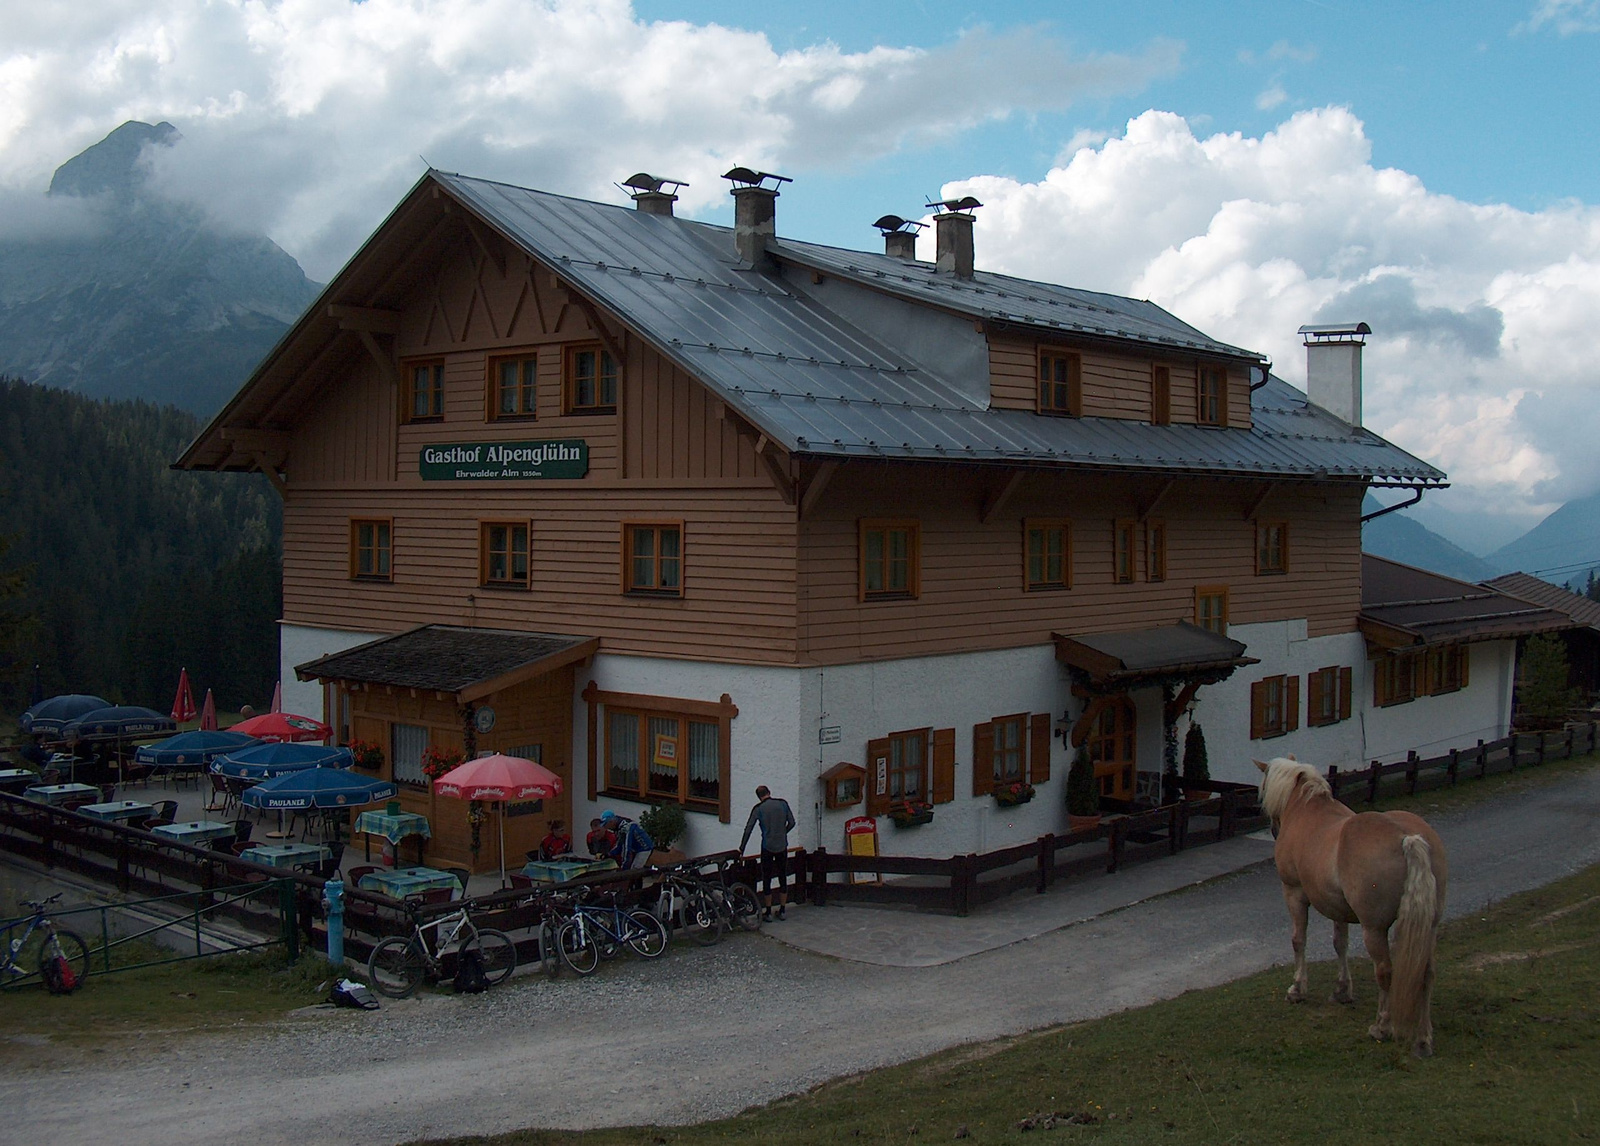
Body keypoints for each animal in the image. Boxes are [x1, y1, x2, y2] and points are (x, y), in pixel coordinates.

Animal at [1260, 752, 1452, 1056]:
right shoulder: (1338, 906)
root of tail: (1407, 837)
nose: (1274, 829)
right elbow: (1340, 944)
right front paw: (1342, 990)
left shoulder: (1294, 893)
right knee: (1426, 972)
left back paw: (1382, 1027)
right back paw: (1423, 1039)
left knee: (1385, 972)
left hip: (1374, 929)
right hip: (1429, 926)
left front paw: (1298, 989)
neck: (1306, 811)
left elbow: (1298, 940)